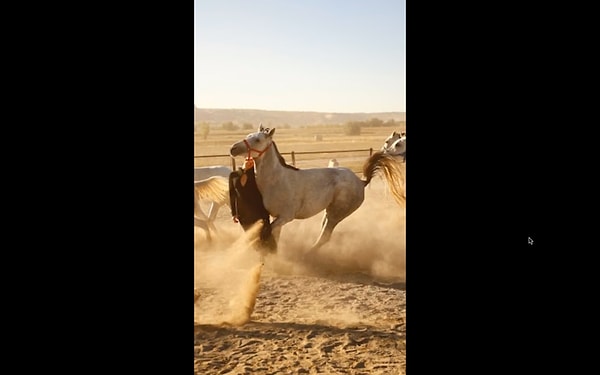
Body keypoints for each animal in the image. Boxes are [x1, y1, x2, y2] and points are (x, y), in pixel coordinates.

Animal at [230, 125, 404, 251]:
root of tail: (361, 182)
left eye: (257, 139)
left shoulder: (285, 217)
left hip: (336, 214)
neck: (276, 179)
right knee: (324, 232)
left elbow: (267, 232)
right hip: (328, 213)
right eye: (248, 136)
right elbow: (274, 234)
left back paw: (308, 253)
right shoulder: (276, 217)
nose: (233, 148)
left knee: (325, 236)